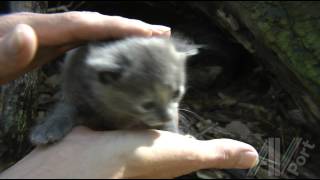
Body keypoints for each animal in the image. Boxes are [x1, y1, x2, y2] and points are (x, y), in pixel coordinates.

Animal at [31, 36, 199, 145]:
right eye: (147, 105)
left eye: (177, 94)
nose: (166, 117)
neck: (120, 110)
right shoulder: (76, 89)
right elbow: (65, 108)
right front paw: (48, 129)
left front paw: (175, 133)